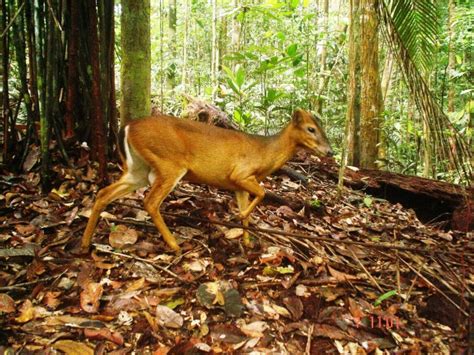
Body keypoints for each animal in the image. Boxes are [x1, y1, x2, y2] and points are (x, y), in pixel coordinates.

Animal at [81, 110, 334, 252]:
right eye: (311, 129)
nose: (330, 151)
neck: (266, 152)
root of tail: (127, 126)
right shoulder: (240, 173)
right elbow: (261, 194)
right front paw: (237, 218)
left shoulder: (238, 186)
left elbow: (249, 209)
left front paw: (247, 241)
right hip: (169, 163)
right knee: (150, 202)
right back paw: (174, 245)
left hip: (138, 170)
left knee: (103, 193)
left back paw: (85, 243)